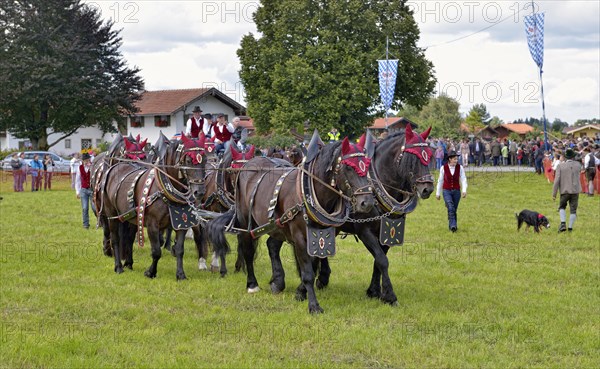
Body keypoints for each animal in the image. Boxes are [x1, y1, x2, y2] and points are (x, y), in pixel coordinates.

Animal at [99, 134, 207, 278]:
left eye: (205, 160)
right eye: (189, 160)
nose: (199, 191)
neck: (164, 189)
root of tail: (115, 167)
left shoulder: (181, 224)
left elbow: (179, 249)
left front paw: (180, 274)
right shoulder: (152, 224)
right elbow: (156, 251)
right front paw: (150, 272)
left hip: (132, 218)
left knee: (128, 238)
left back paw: (129, 263)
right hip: (112, 215)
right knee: (115, 238)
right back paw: (118, 267)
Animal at [207, 134, 376, 312]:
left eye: (366, 167)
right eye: (348, 167)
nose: (367, 202)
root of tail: (249, 164)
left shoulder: (321, 235)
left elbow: (313, 265)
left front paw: (300, 292)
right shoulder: (300, 236)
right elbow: (307, 272)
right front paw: (313, 305)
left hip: (277, 225)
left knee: (272, 245)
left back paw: (277, 281)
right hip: (246, 220)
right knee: (247, 249)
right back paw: (252, 284)